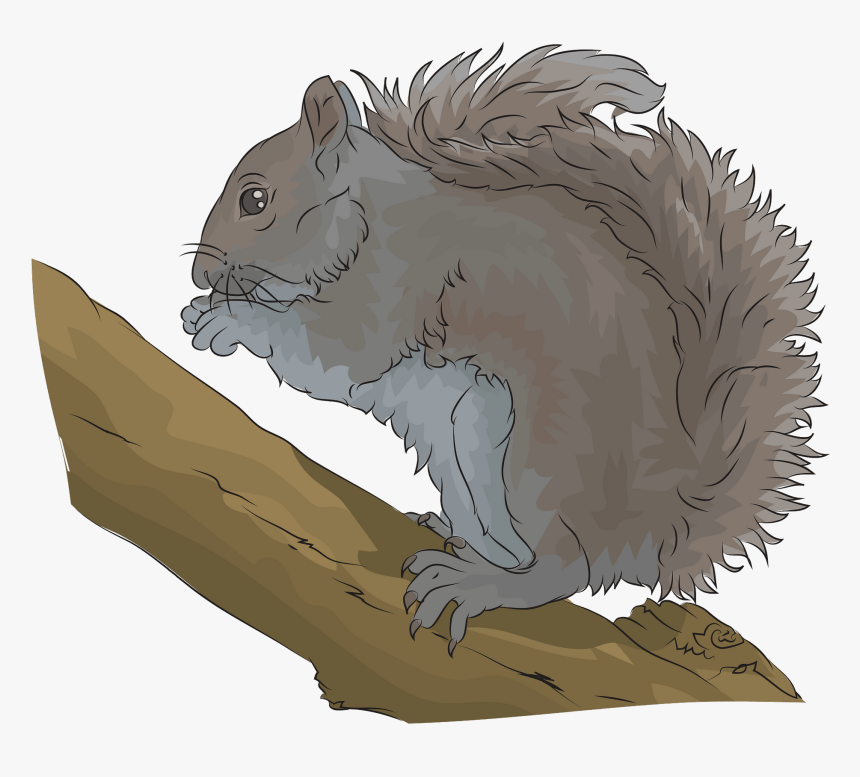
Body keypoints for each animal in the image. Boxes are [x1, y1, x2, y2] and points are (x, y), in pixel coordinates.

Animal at [181, 46, 822, 654]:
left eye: (255, 199)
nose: (199, 274)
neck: (366, 211)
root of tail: (651, 522)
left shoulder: (398, 282)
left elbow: (336, 351)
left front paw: (228, 319)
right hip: (461, 454)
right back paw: (452, 534)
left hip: (541, 465)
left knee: (564, 568)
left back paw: (481, 583)